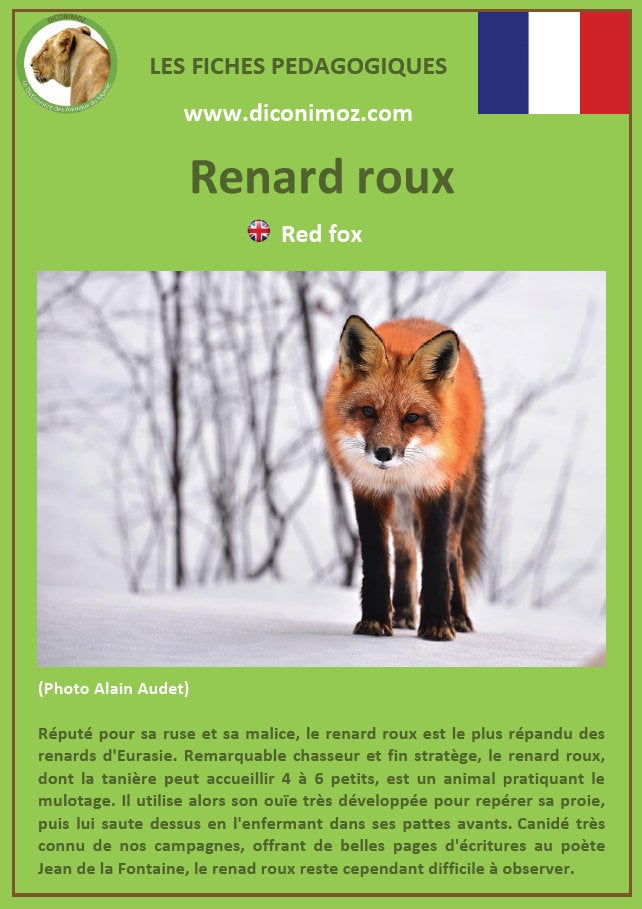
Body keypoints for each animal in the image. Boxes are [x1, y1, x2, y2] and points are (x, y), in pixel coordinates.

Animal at [322, 315, 485, 641]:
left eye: (411, 418)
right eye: (368, 411)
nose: (383, 453)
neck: (399, 474)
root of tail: (421, 320)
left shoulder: (435, 489)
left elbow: (436, 563)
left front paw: (437, 624)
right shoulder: (368, 490)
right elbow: (376, 562)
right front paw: (374, 621)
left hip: (458, 496)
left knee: (453, 552)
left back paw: (459, 616)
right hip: (400, 510)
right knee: (405, 551)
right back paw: (404, 613)